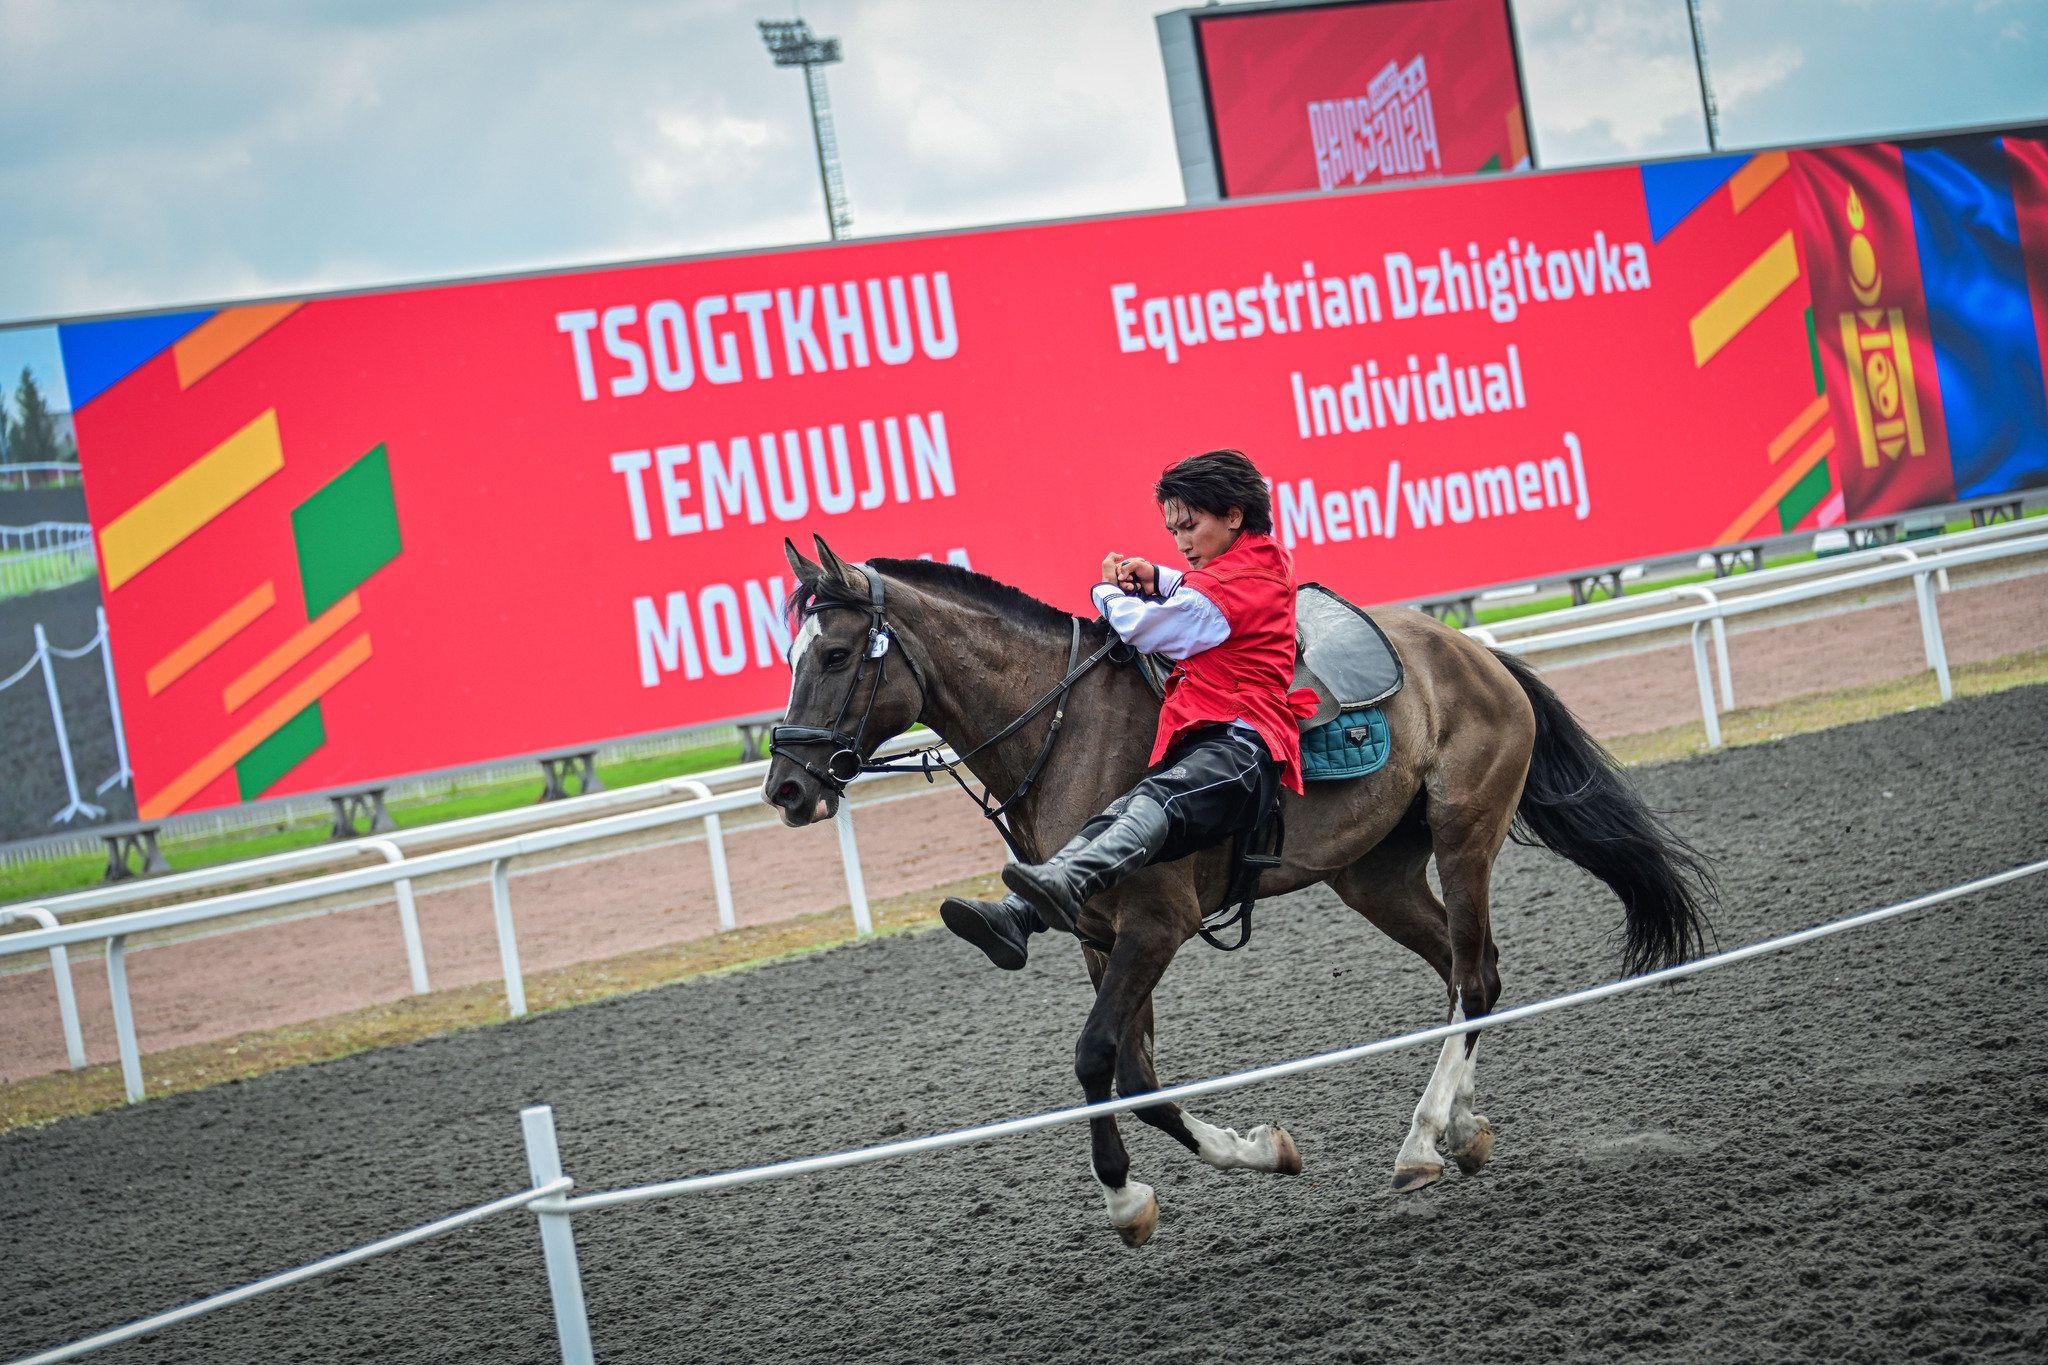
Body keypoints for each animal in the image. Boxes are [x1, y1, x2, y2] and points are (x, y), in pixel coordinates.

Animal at [761, 540, 1703, 1244]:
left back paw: (1422, 1137)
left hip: (1464, 836)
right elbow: (1137, 1073)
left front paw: (1125, 1199)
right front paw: (1259, 1149)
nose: (786, 787)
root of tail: (1476, 651)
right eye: (794, 657)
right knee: (1474, 975)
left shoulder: (1157, 925)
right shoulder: (1100, 936)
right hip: (1375, 874)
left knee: (1472, 977)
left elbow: (1096, 1057)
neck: (1067, 729)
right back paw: (1461, 1129)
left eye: (836, 655)